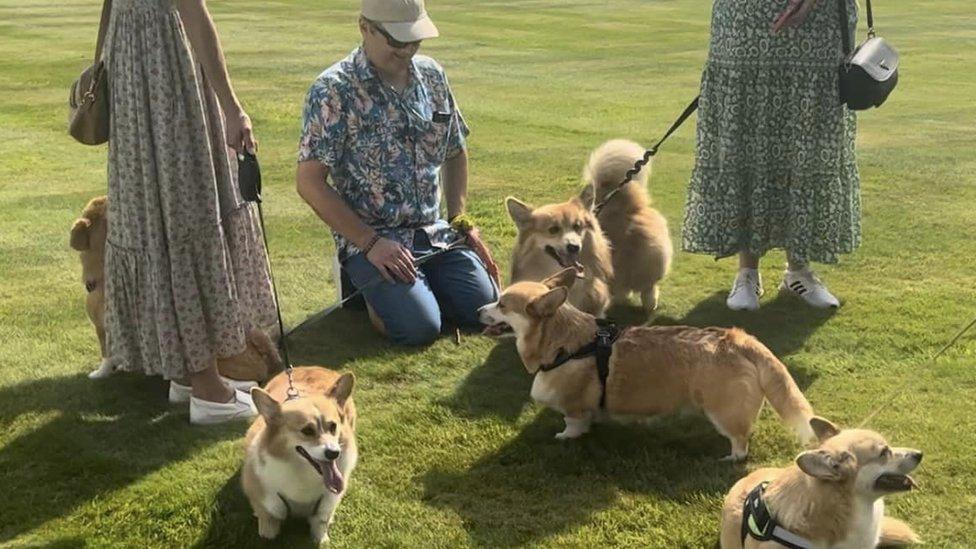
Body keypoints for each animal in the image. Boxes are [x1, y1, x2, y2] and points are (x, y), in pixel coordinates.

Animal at [241, 366, 358, 540]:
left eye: (333, 426)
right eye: (307, 431)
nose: (334, 453)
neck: (303, 473)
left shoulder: (326, 505)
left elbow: (321, 525)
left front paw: (322, 538)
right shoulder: (266, 501)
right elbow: (267, 526)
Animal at [480, 266, 816, 458]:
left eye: (502, 304)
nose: (479, 310)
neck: (562, 340)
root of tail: (738, 340)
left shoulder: (573, 407)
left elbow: (573, 423)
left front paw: (566, 437)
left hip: (723, 411)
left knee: (740, 440)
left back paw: (731, 457)